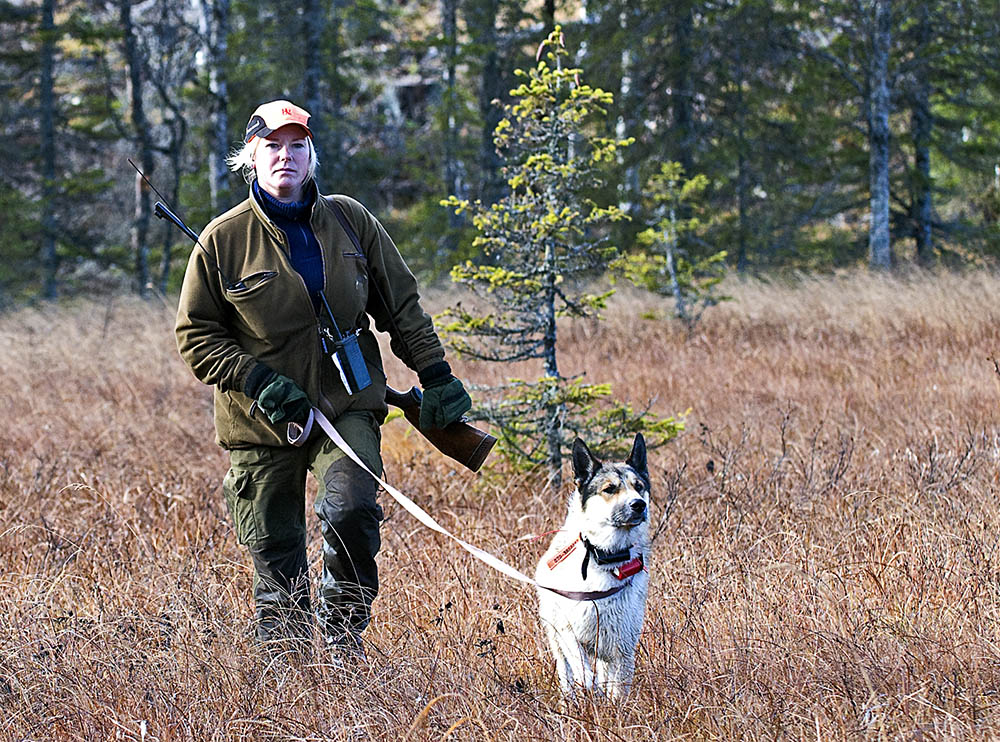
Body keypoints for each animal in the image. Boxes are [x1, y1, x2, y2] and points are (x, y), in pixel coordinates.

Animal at [536, 434, 652, 700]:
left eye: (639, 486)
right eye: (610, 489)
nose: (638, 505)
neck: (608, 557)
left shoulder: (622, 646)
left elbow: (617, 690)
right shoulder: (568, 631)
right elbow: (584, 671)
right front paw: (590, 692)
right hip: (556, 638)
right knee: (567, 674)